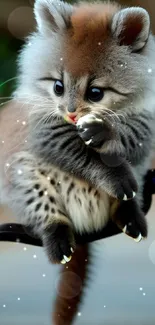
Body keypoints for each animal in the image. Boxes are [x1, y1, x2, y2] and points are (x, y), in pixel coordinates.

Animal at [8, 0, 155, 264]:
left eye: (95, 93)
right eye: (58, 87)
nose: (71, 114)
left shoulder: (144, 124)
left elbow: (126, 136)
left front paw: (103, 131)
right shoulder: (45, 129)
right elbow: (84, 153)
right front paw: (117, 176)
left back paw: (131, 216)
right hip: (27, 176)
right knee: (46, 213)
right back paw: (59, 239)